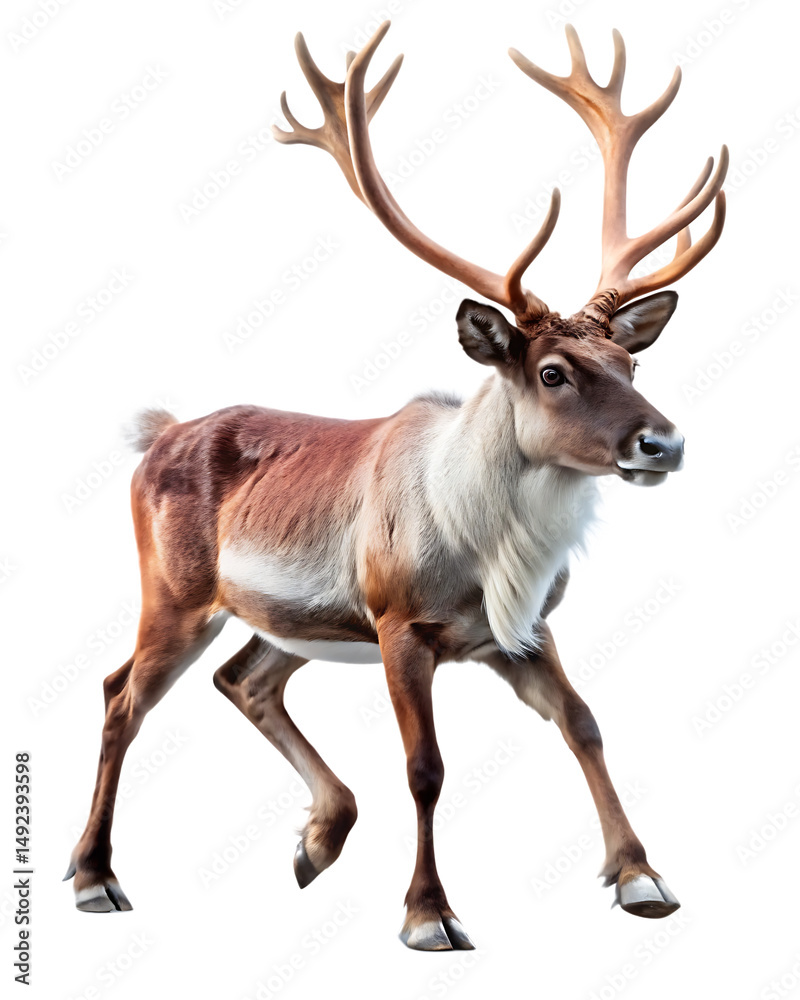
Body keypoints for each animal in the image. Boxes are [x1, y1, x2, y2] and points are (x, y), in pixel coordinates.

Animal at [65, 23, 726, 951]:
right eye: (552, 371)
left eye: (631, 363)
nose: (661, 442)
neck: (485, 550)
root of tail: (156, 432)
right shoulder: (399, 623)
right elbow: (426, 768)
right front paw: (429, 913)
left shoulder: (521, 630)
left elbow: (586, 725)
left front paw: (640, 875)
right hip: (177, 591)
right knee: (121, 693)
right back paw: (95, 876)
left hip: (293, 615)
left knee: (242, 679)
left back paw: (317, 839)